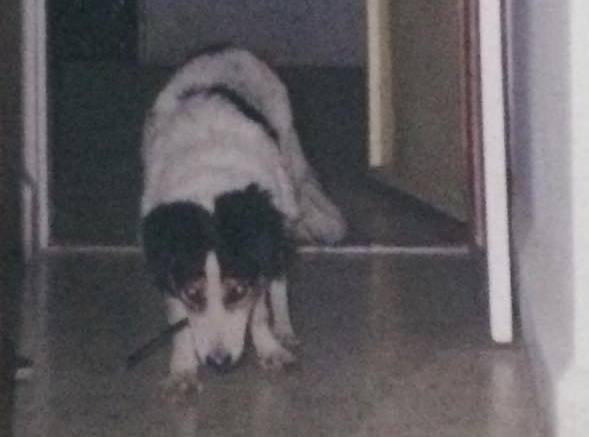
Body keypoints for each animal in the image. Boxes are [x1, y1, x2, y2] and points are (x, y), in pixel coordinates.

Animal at [140, 45, 346, 396]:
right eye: (193, 293)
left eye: (236, 291)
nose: (219, 363)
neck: (209, 177)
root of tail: (228, 48)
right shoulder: (165, 261)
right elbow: (179, 319)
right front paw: (183, 369)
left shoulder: (263, 247)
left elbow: (260, 307)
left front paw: (270, 347)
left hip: (287, 198)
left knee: (279, 279)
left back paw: (284, 328)